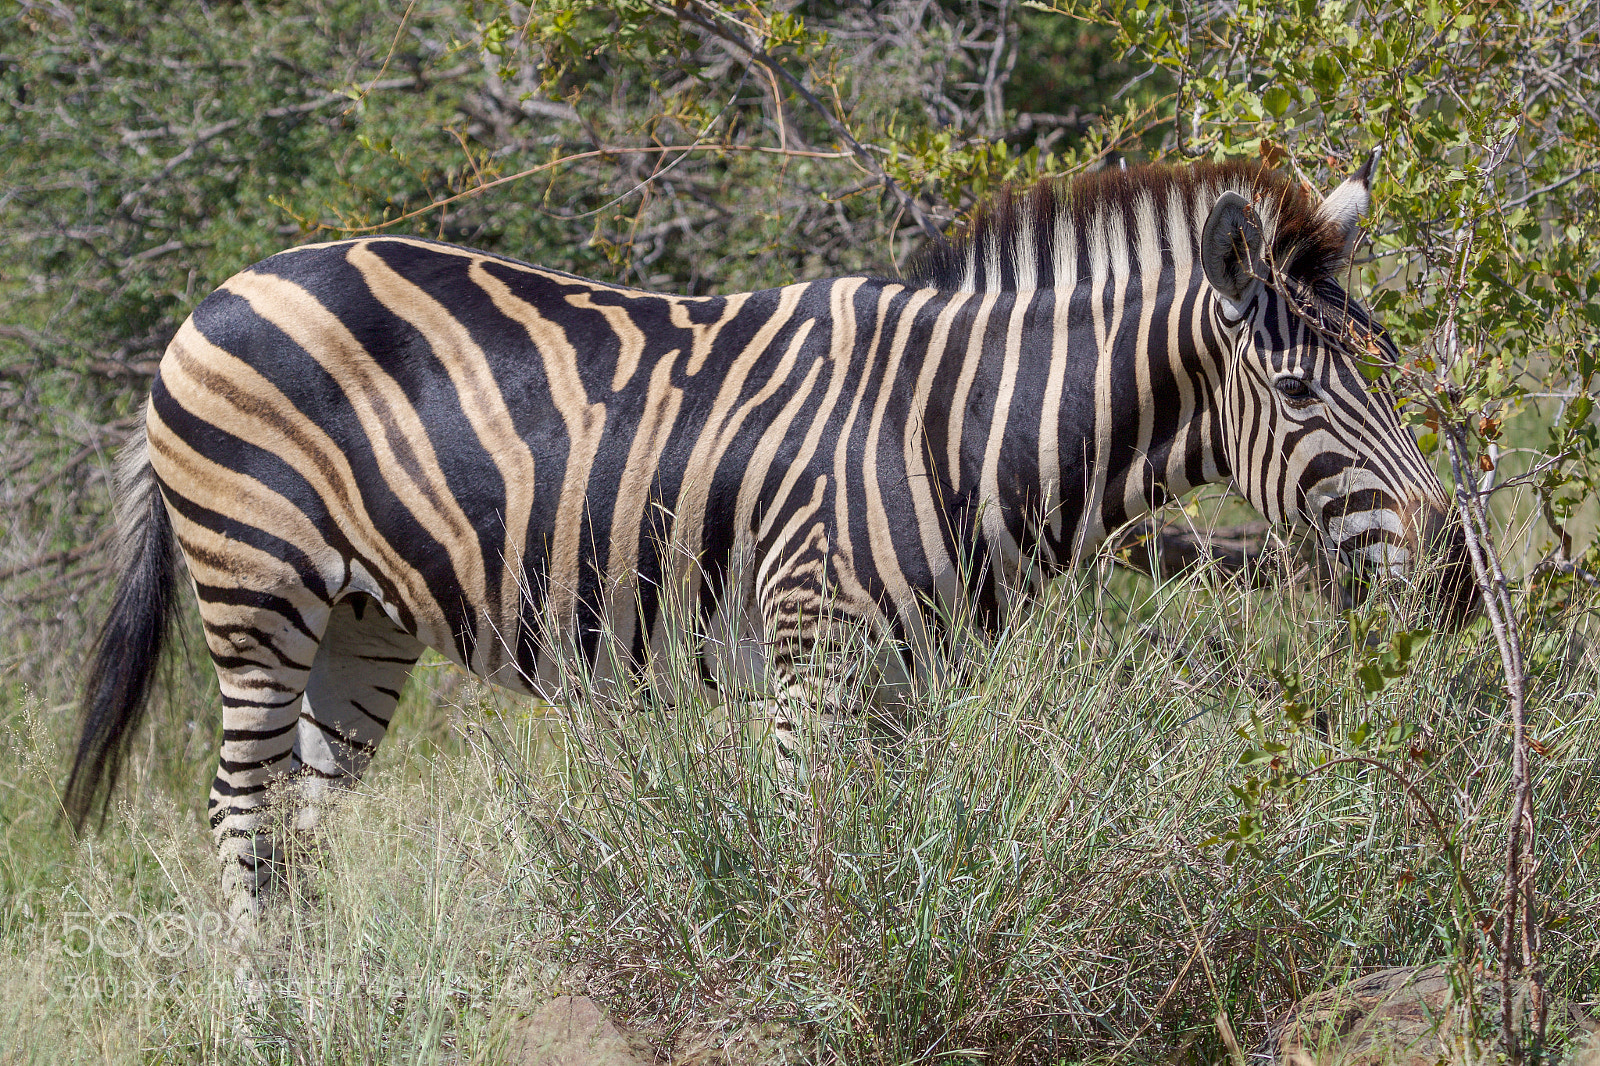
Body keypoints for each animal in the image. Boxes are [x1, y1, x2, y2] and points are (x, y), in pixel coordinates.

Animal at [64, 156, 1475, 916]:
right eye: (1297, 394)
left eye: (1389, 368)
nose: (1460, 576)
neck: (953, 427)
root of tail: (214, 297)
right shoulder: (815, 662)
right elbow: (817, 863)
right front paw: (831, 990)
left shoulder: (910, 679)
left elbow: (899, 853)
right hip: (258, 597)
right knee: (239, 819)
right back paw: (270, 1018)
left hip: (361, 623)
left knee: (300, 832)